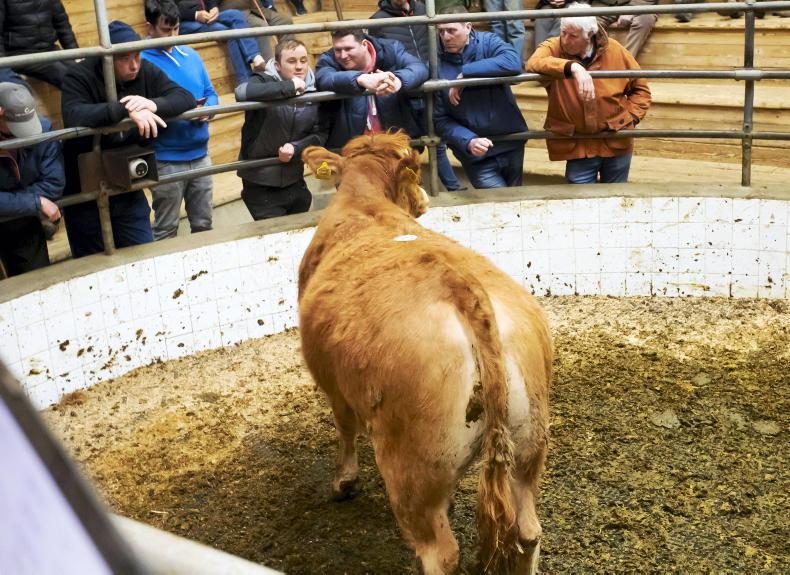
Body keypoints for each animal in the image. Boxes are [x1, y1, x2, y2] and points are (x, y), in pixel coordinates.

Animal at [298, 131, 552, 574]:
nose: (423, 200)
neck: (365, 203)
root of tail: (462, 287)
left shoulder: (332, 383)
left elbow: (344, 426)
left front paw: (343, 481)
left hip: (411, 468)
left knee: (441, 553)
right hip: (528, 446)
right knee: (527, 531)